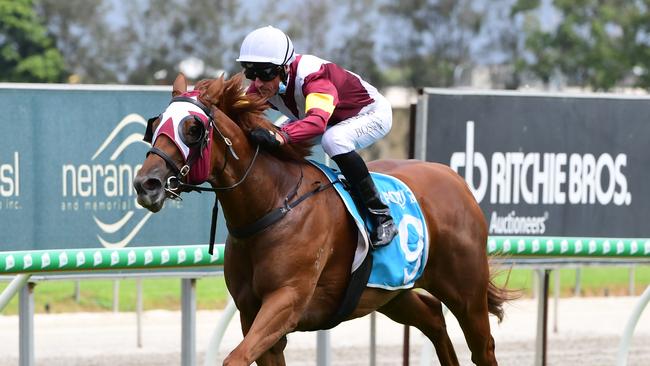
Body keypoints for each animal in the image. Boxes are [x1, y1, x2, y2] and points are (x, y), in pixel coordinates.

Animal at [133, 73, 506, 364]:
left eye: (192, 128)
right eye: (155, 125)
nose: (146, 184)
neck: (273, 204)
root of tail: (455, 178)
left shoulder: (286, 301)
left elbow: (235, 358)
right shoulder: (252, 313)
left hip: (466, 291)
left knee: (483, 347)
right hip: (391, 292)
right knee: (433, 319)